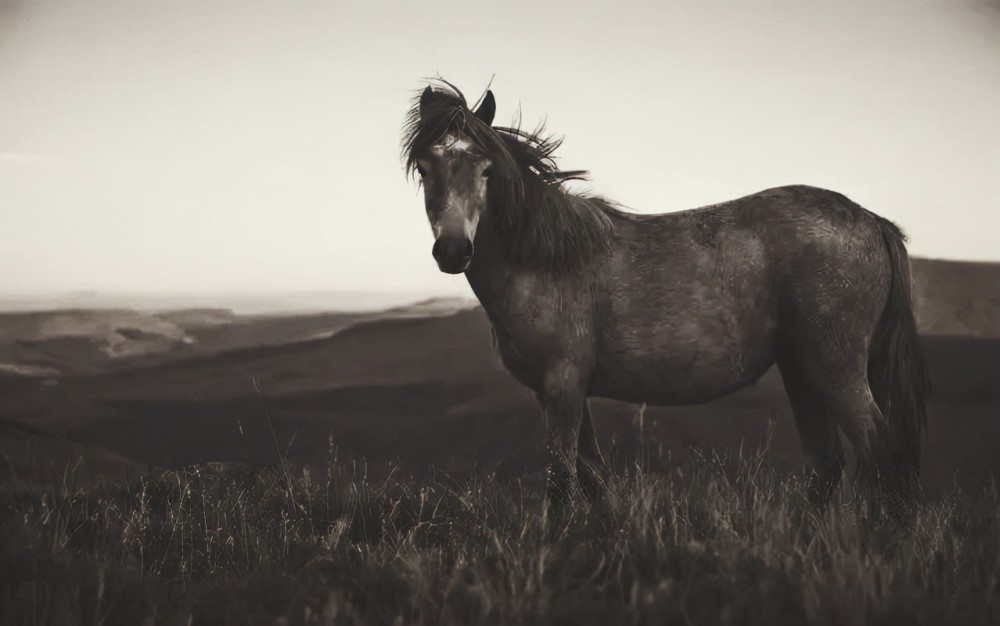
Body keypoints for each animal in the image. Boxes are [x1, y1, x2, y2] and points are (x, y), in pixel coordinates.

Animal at [398, 80, 928, 516]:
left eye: (487, 169)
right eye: (425, 167)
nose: (453, 250)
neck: (547, 260)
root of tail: (873, 221)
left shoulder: (562, 386)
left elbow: (562, 485)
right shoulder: (565, 392)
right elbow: (593, 478)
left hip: (835, 368)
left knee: (879, 452)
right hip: (802, 372)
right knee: (827, 465)